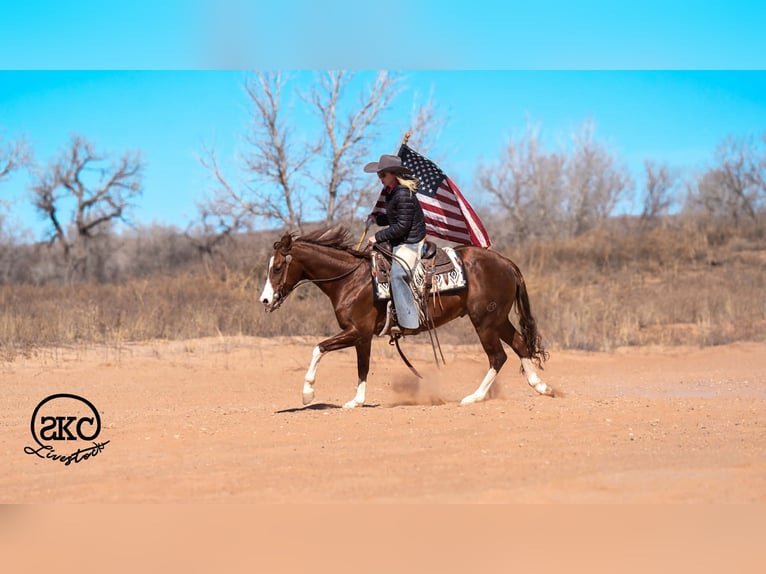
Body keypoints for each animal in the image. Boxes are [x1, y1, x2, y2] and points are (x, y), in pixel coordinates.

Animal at [258, 227, 553, 408]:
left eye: (278, 267)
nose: (265, 300)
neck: (352, 280)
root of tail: (505, 263)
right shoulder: (360, 336)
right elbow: (359, 365)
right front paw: (356, 400)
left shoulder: (358, 332)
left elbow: (323, 350)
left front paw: (310, 393)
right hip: (498, 319)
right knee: (519, 344)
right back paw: (542, 387)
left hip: (484, 321)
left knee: (498, 356)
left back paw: (474, 397)